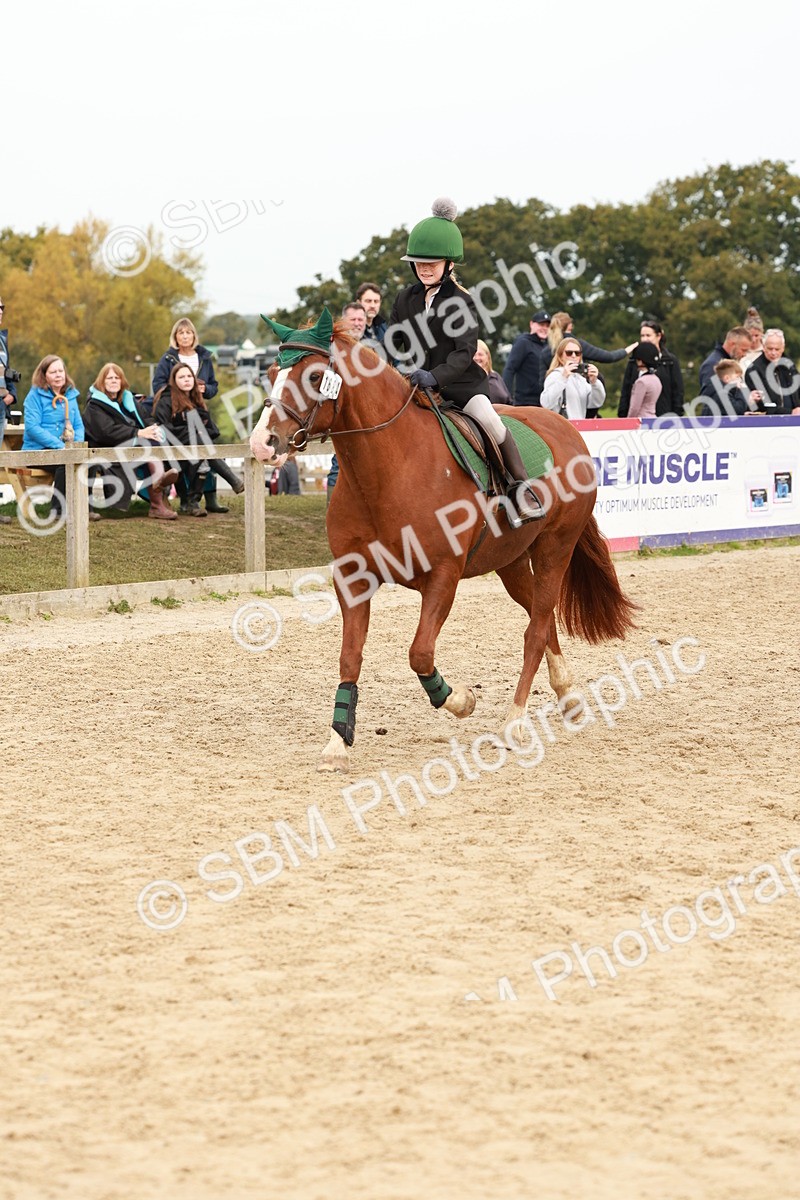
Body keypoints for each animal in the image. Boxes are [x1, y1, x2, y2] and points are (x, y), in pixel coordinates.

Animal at [250, 324, 637, 772]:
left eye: (314, 377)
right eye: (272, 372)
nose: (262, 442)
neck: (388, 469)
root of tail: (565, 427)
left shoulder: (443, 577)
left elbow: (419, 653)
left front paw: (461, 700)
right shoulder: (352, 579)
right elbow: (350, 657)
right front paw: (336, 743)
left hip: (554, 549)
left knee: (536, 629)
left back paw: (515, 722)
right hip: (510, 563)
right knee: (542, 620)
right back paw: (568, 695)